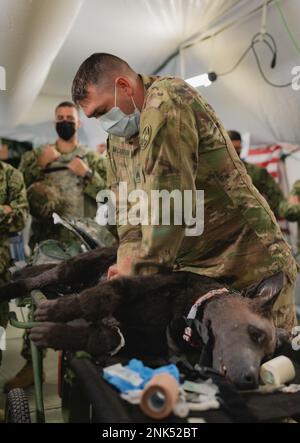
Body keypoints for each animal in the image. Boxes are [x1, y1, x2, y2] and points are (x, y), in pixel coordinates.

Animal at [0, 246, 288, 388]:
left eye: (267, 357)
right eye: (255, 334)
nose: (251, 379)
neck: (186, 316)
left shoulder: (141, 339)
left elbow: (105, 337)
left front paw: (53, 333)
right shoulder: (127, 286)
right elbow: (95, 299)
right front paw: (54, 310)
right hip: (78, 265)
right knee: (46, 276)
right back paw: (14, 283)